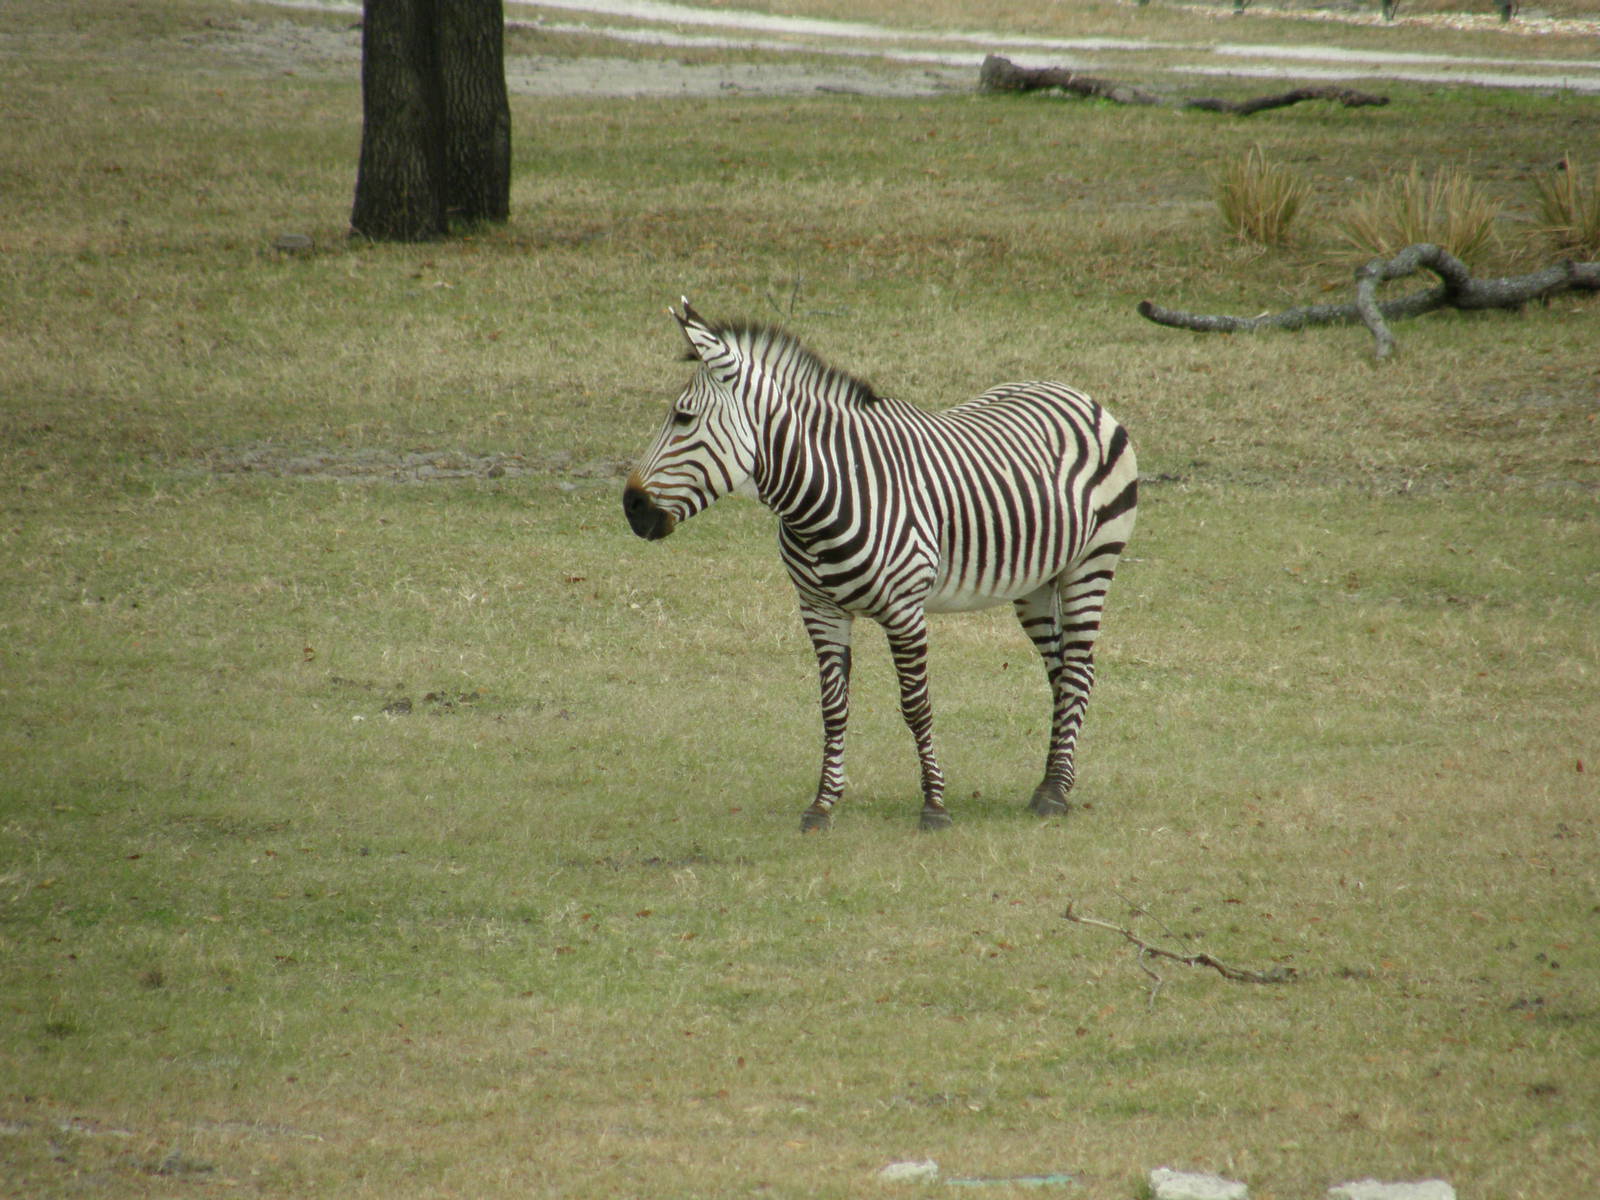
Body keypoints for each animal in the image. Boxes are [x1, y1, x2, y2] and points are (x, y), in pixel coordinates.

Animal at [623, 300, 1138, 831]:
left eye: (683, 418)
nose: (630, 506)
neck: (825, 493)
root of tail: (1075, 392)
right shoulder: (819, 610)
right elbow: (833, 707)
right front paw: (823, 803)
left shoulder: (904, 610)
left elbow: (916, 706)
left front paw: (934, 804)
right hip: (1037, 582)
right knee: (1065, 672)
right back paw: (1052, 781)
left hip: (1091, 564)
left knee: (1076, 671)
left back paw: (1055, 791)